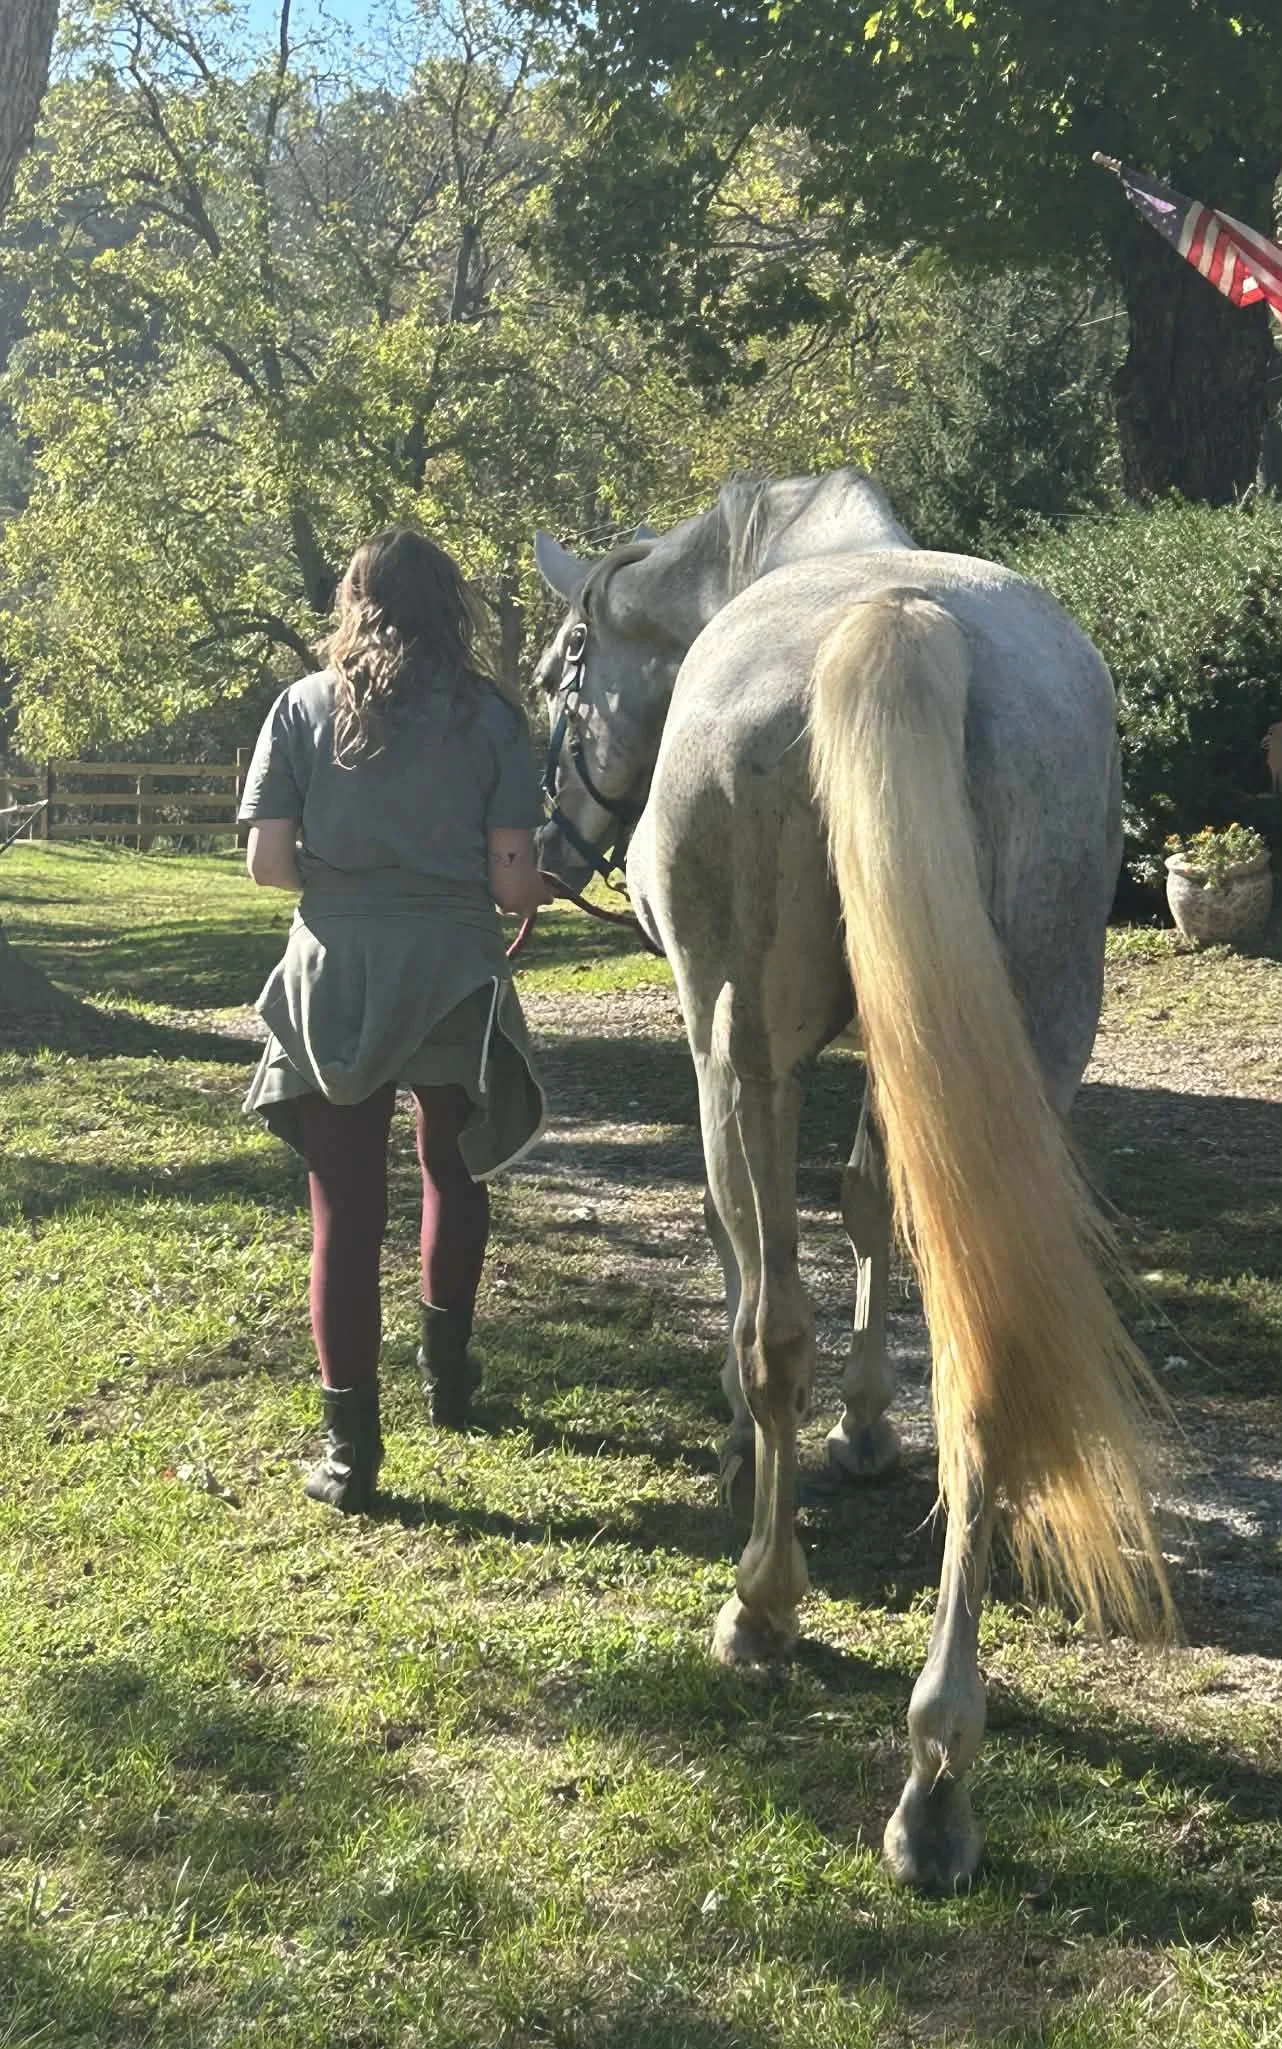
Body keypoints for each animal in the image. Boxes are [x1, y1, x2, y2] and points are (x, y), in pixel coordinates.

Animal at [532, 469, 1172, 1892]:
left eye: (562, 667)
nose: (545, 843)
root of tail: (903, 617)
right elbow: (876, 1210)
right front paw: (870, 1429)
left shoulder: (718, 1049)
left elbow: (744, 1265)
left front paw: (736, 1446)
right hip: (1029, 1042)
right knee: (981, 1367)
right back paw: (938, 1778)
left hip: (745, 1047)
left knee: (781, 1326)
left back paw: (764, 1609)